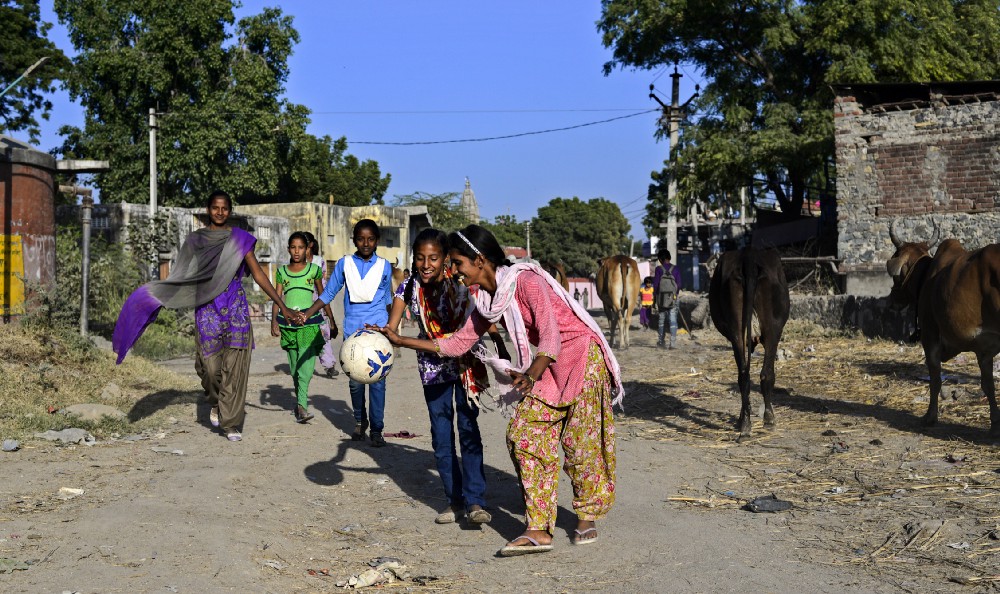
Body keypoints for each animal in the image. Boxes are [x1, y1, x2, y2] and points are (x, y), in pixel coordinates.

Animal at [712, 247, 788, 438]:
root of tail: (749, 257)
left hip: (739, 331)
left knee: (745, 375)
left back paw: (745, 424)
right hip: (773, 328)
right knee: (765, 374)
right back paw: (768, 419)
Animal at [888, 217, 1000, 434]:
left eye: (896, 275)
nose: (892, 299)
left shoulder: (930, 336)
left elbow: (935, 380)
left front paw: (930, 417)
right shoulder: (984, 350)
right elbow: (988, 385)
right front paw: (994, 425)